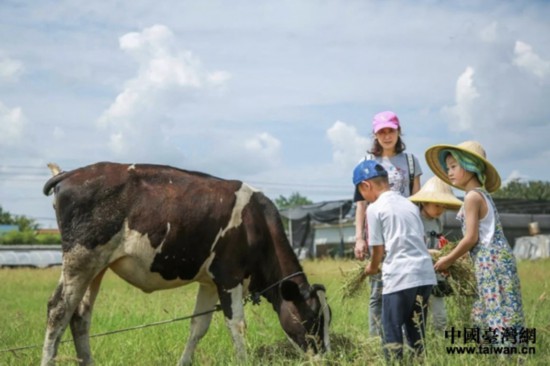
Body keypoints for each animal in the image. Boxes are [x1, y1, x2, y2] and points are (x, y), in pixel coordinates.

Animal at [41, 163, 332, 366]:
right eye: (313, 319)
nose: (327, 359)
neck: (257, 224)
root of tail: (70, 174)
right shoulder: (229, 276)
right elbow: (237, 324)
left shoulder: (210, 281)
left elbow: (198, 326)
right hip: (80, 259)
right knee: (58, 311)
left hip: (96, 267)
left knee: (80, 316)